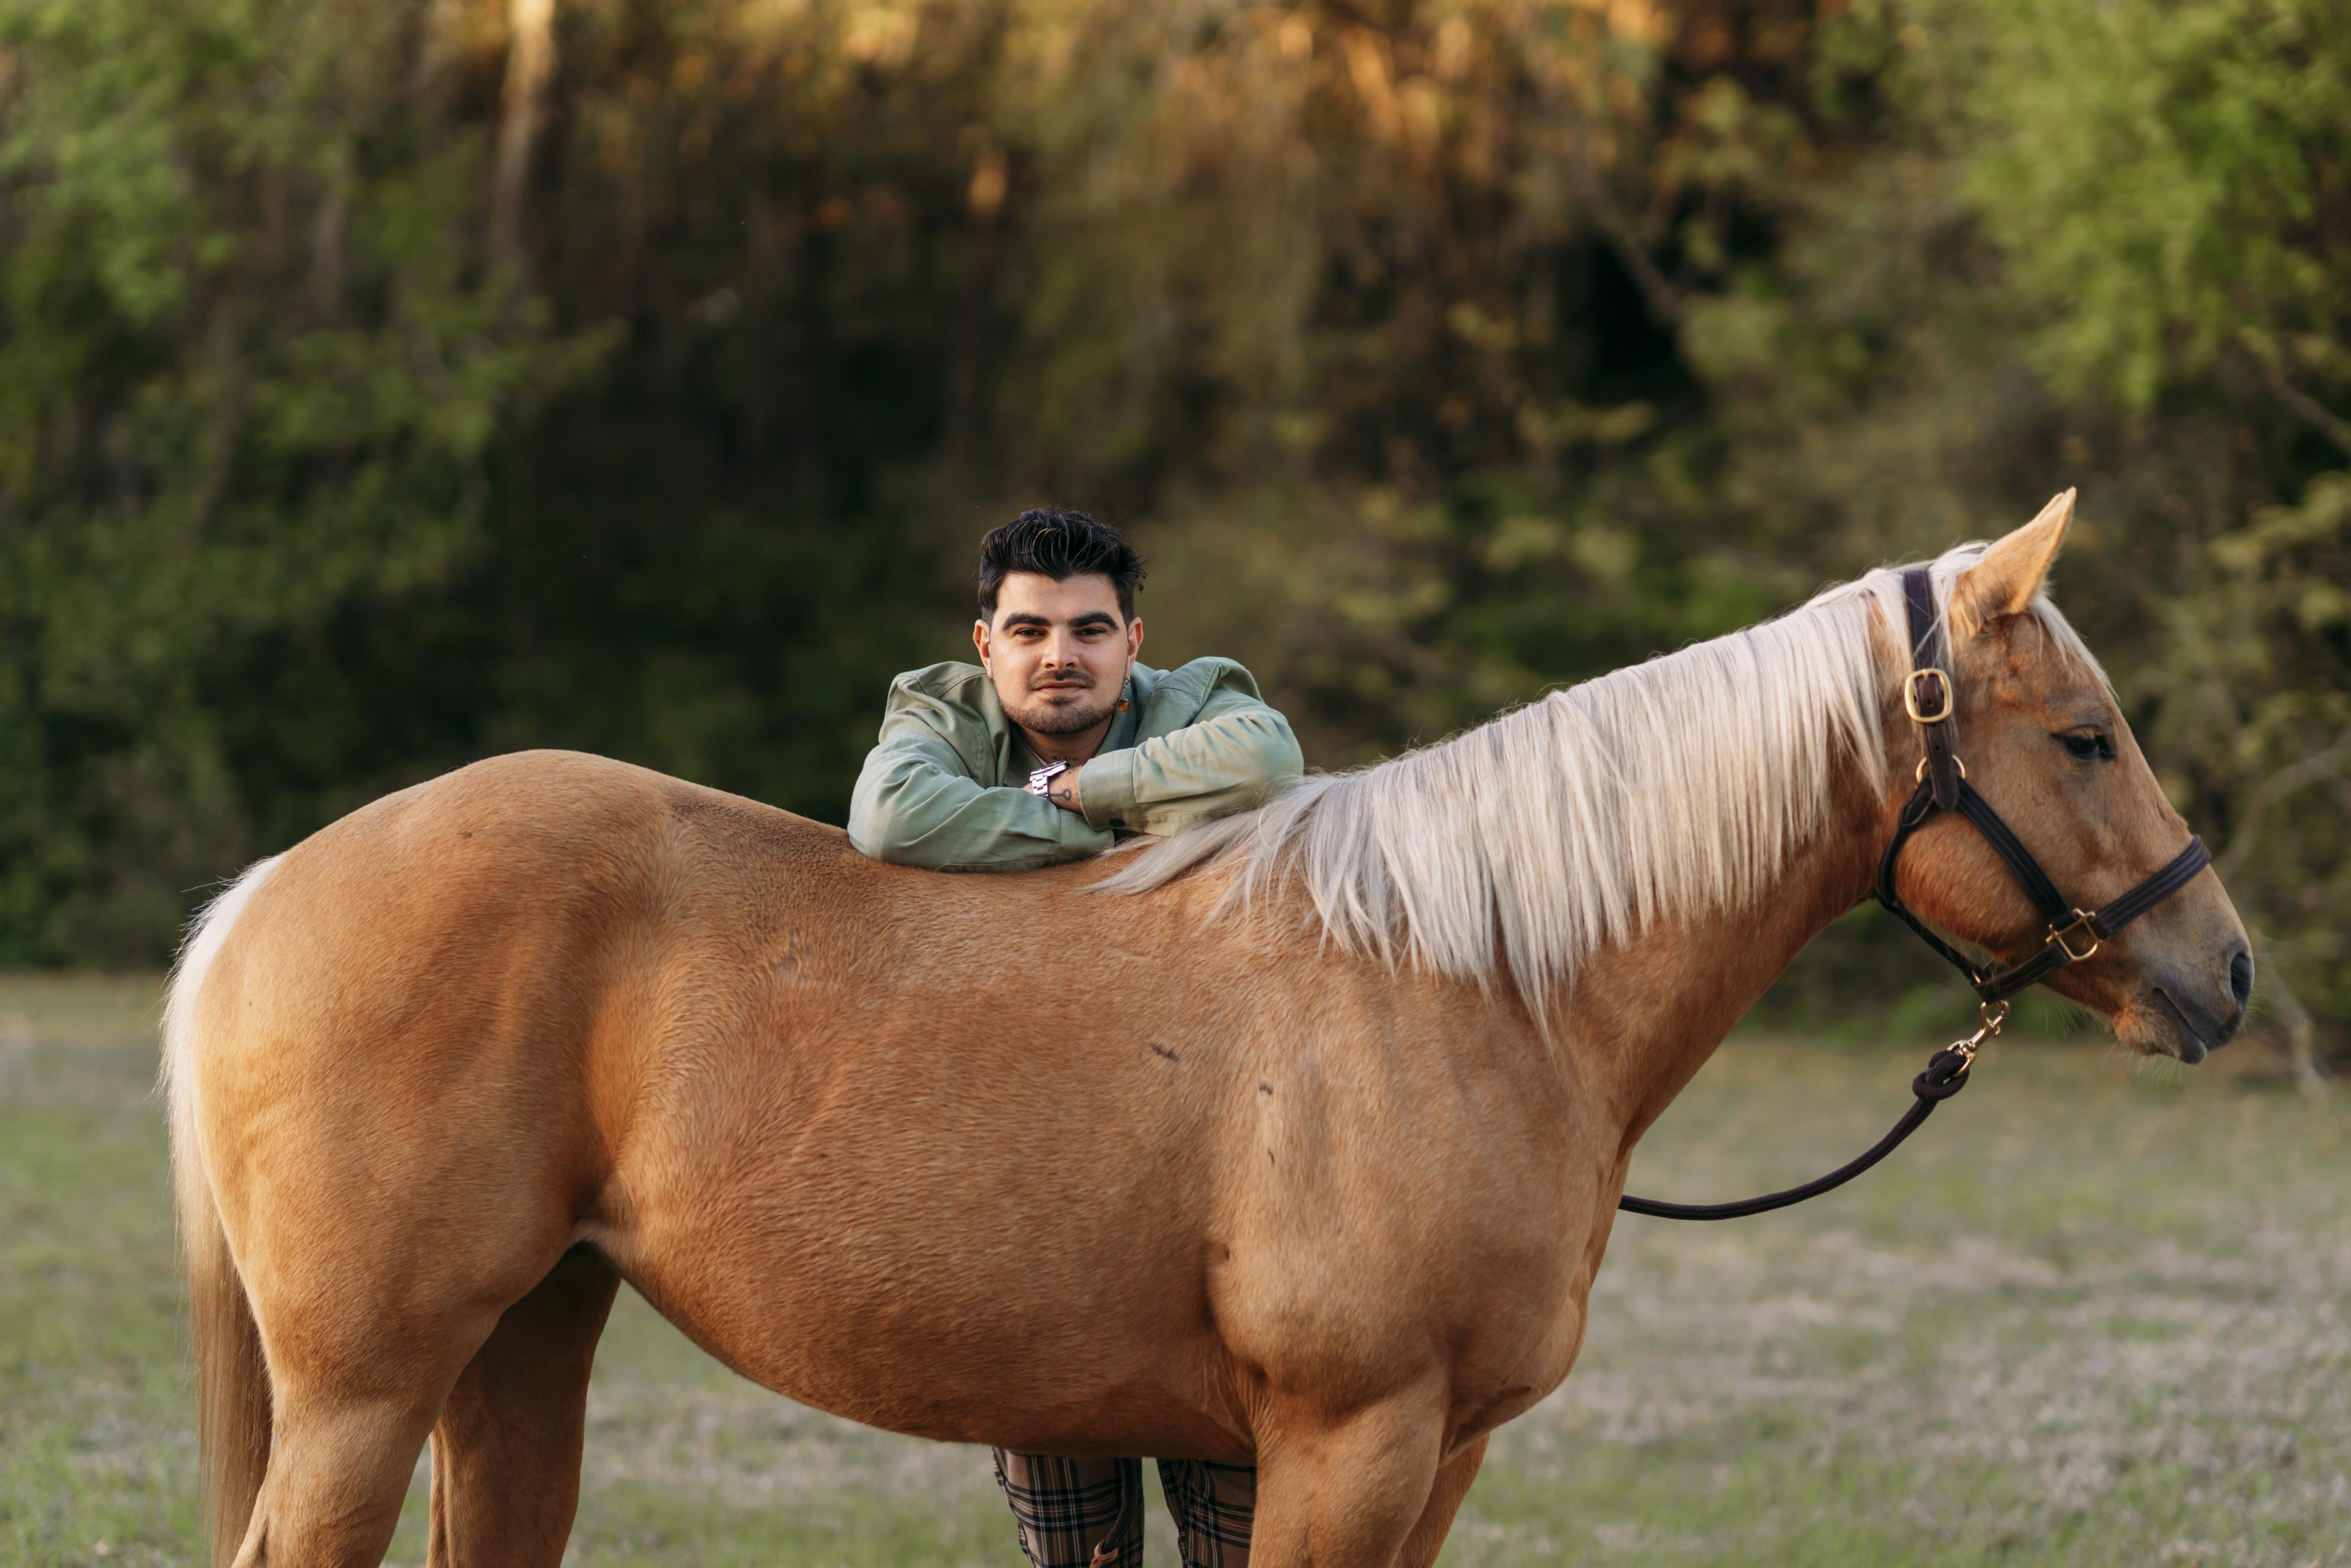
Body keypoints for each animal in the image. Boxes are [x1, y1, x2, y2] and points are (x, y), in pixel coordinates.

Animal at [156, 495, 2248, 1561]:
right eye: (2083, 738)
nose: (2219, 968)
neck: (1480, 981)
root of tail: (269, 888)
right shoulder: (1350, 1441)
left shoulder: (1435, 1458)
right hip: (365, 1389)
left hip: (520, 1346)